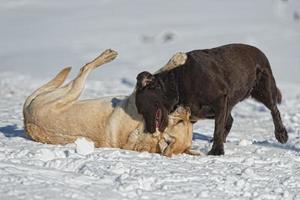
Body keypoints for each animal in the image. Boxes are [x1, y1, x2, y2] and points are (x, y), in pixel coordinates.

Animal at [135, 43, 288, 155]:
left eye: (143, 108)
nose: (149, 131)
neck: (178, 82)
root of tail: (260, 52)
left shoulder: (220, 99)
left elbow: (218, 127)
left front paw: (216, 151)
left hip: (264, 90)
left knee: (274, 109)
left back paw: (281, 134)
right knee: (230, 120)